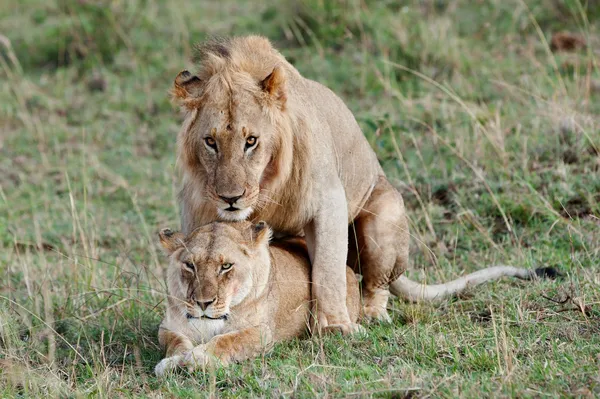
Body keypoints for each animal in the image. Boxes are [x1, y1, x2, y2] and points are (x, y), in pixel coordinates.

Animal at [155, 220, 360, 376]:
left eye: (226, 266)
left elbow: (227, 339)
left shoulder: (262, 331)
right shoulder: (167, 327)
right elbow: (176, 342)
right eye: (190, 265)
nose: (203, 303)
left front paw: (200, 357)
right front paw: (172, 362)